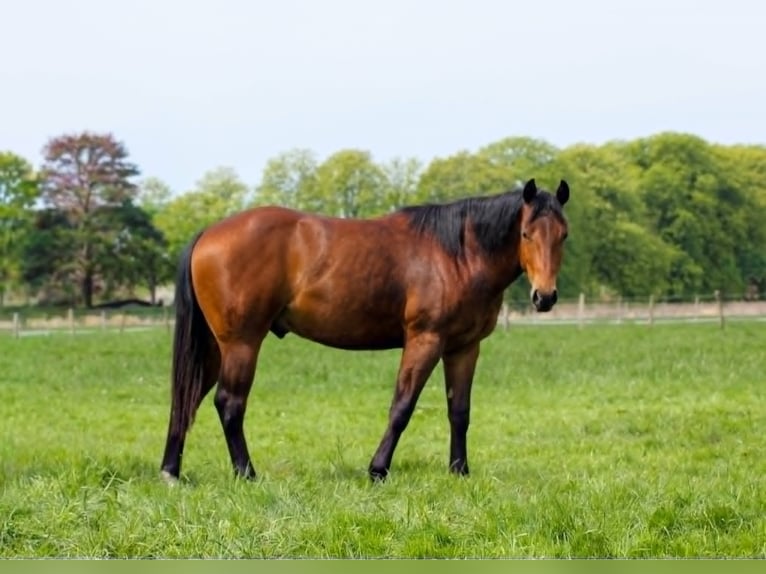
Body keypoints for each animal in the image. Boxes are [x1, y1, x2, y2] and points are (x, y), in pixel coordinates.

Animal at [160, 178, 570, 483]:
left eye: (563, 235)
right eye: (526, 233)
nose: (545, 296)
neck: (457, 254)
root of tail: (208, 233)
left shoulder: (464, 348)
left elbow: (460, 411)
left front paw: (459, 471)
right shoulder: (425, 340)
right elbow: (402, 407)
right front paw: (378, 469)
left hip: (216, 347)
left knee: (187, 400)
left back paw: (171, 472)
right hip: (242, 343)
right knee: (229, 403)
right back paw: (246, 473)